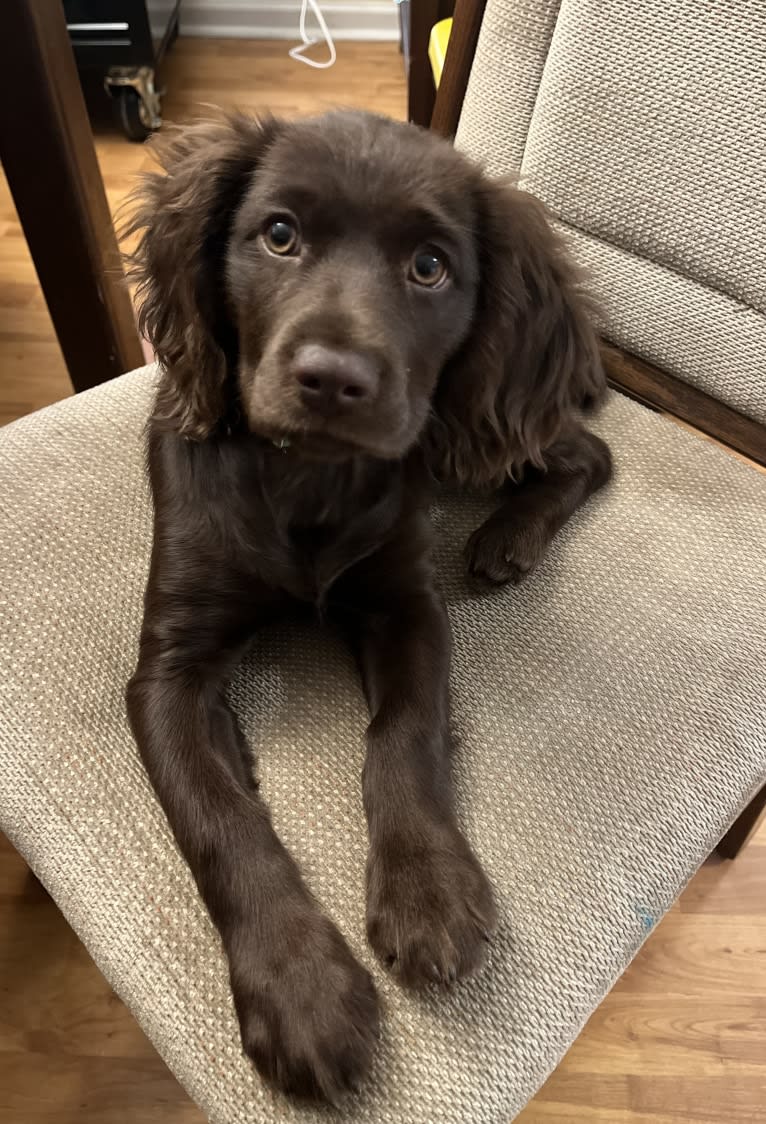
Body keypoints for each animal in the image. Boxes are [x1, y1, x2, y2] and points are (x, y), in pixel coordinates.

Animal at [125, 109, 611, 1101]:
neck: (306, 478)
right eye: (278, 235)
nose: (332, 378)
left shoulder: (407, 609)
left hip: (463, 423)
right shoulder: (167, 669)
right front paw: (301, 990)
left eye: (430, 267)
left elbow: (405, 733)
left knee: (583, 450)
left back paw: (509, 539)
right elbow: (217, 815)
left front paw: (428, 890)